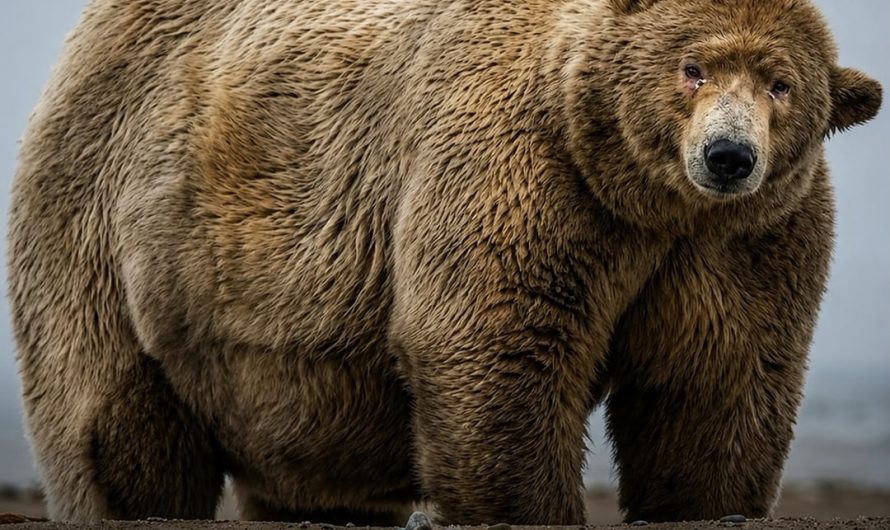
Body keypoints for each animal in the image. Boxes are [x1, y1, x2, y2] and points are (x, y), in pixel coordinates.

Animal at [8, 0, 882, 525]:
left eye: (780, 84)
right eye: (691, 67)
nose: (728, 155)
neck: (642, 200)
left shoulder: (741, 241)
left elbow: (716, 383)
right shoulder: (525, 171)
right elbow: (496, 349)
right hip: (114, 223)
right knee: (111, 420)